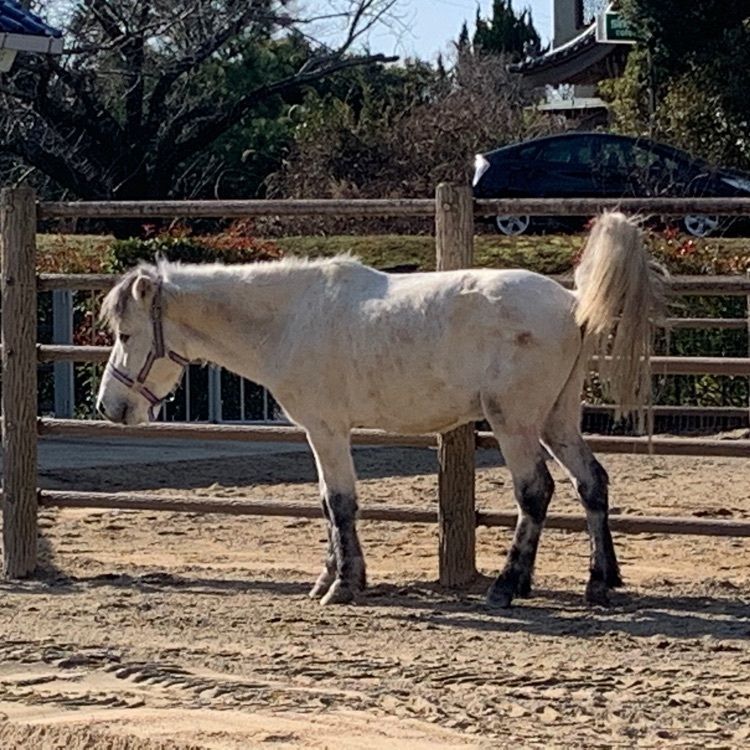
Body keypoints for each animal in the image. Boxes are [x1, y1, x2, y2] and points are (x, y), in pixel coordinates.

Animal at [96, 212, 666, 608]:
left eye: (125, 334)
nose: (109, 406)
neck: (289, 320)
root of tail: (572, 303)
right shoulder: (322, 434)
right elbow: (327, 504)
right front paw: (330, 577)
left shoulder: (326, 430)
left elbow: (341, 504)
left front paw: (343, 586)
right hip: (557, 419)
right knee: (591, 482)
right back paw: (598, 582)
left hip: (516, 424)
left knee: (536, 492)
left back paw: (506, 587)